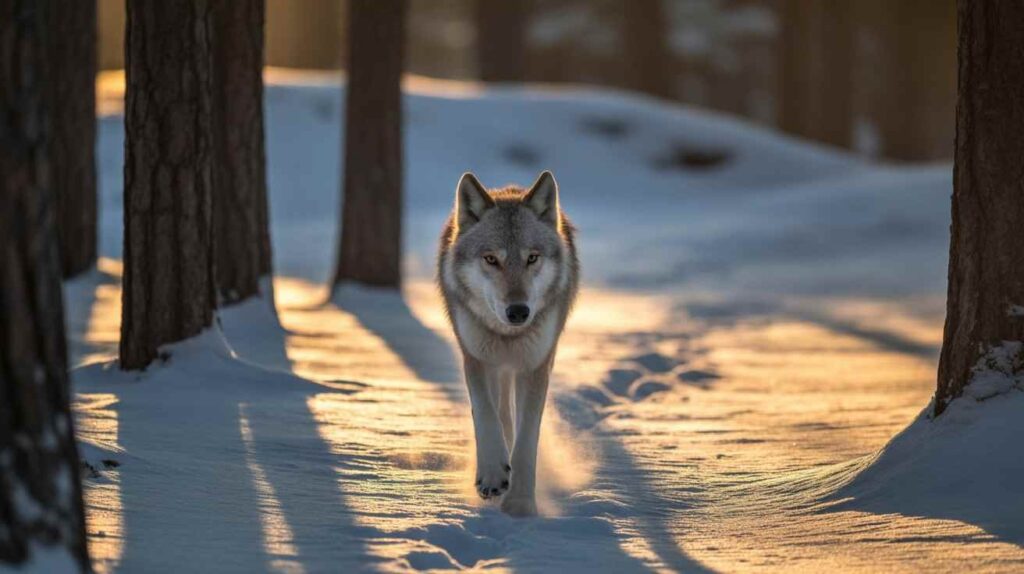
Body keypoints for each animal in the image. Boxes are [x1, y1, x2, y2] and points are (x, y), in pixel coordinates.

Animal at [437, 170, 579, 516]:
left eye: (532, 258)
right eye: (491, 259)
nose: (518, 311)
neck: (507, 334)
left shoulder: (535, 366)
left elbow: (527, 439)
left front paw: (520, 504)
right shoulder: (475, 358)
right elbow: (486, 414)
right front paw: (491, 475)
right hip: (497, 366)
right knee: (502, 414)